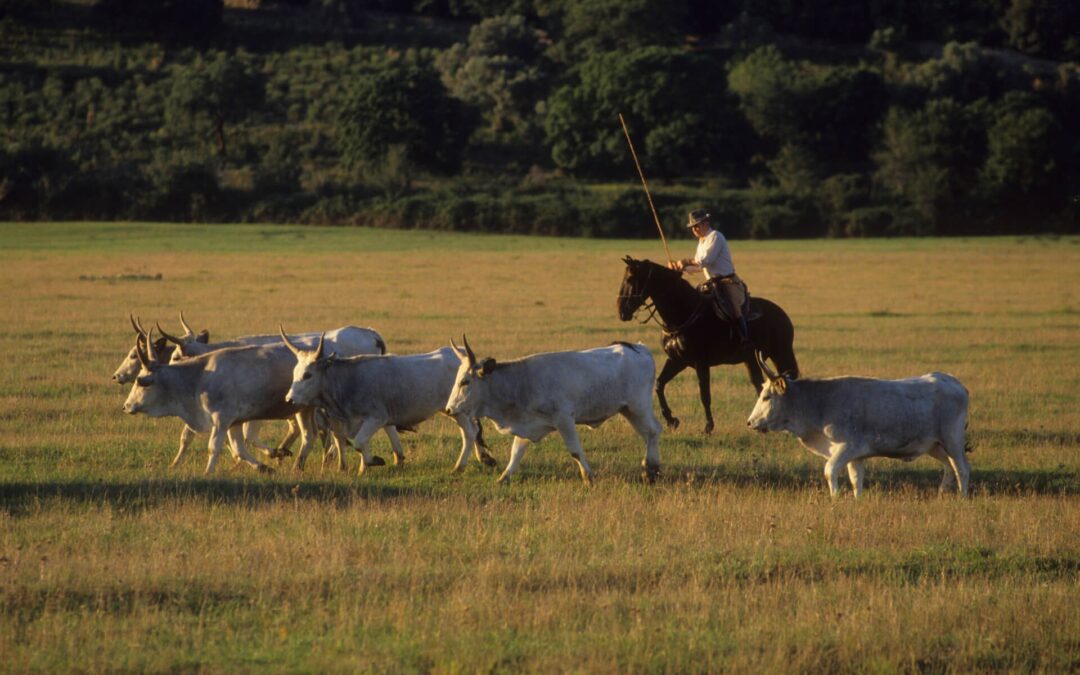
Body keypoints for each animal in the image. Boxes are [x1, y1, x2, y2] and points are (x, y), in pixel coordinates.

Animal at [280, 332, 494, 473]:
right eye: (295, 372)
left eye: (308, 375)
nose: (289, 399)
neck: (347, 379)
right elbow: (353, 442)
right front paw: (363, 468)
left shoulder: (375, 418)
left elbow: (359, 442)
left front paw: (373, 461)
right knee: (474, 431)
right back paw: (482, 458)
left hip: (459, 412)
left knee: (469, 433)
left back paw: (459, 467)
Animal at [442, 336, 660, 483]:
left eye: (465, 381)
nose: (449, 409)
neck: (522, 381)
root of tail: (640, 348)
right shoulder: (526, 423)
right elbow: (516, 452)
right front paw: (504, 478)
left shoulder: (565, 420)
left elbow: (575, 451)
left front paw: (588, 477)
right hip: (629, 410)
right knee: (649, 433)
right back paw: (650, 468)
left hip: (638, 407)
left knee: (653, 431)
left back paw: (651, 469)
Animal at [613, 254, 799, 434]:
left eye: (630, 278)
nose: (622, 311)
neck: (684, 314)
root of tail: (782, 314)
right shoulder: (677, 361)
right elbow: (659, 384)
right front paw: (672, 420)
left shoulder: (701, 363)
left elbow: (704, 395)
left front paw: (708, 427)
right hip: (752, 359)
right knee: (759, 383)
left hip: (781, 353)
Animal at [747, 352, 976, 494]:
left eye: (766, 397)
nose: (749, 422)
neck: (818, 403)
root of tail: (955, 382)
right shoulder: (856, 456)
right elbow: (856, 480)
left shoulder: (847, 447)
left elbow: (830, 470)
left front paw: (836, 498)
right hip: (934, 445)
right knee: (949, 466)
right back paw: (942, 492)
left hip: (953, 441)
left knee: (962, 469)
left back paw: (961, 498)